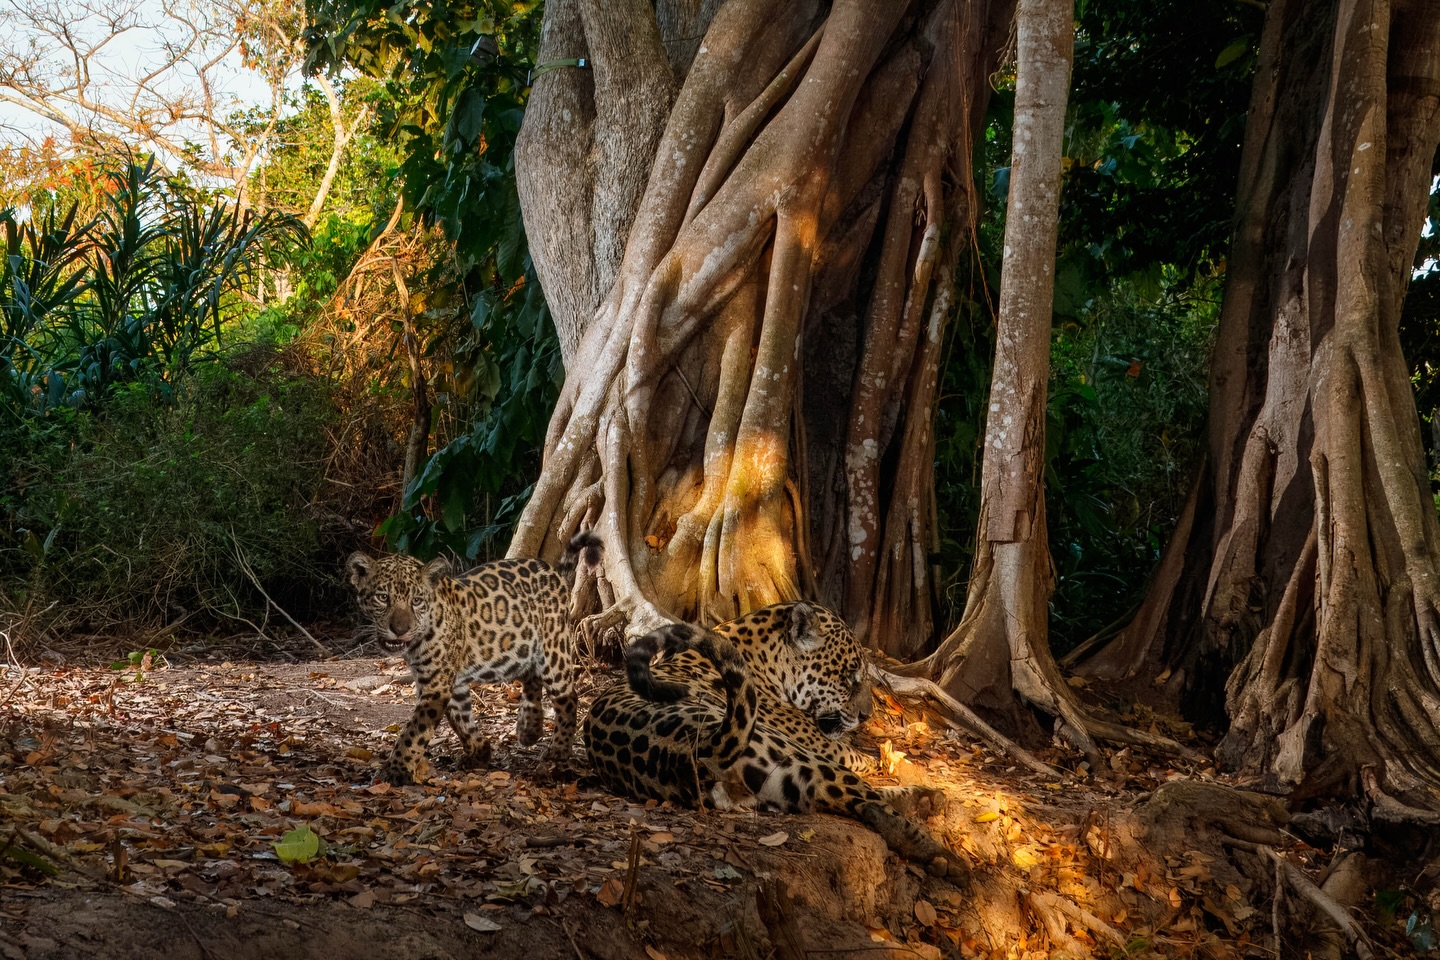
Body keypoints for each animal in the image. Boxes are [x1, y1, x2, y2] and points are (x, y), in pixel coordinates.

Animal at [346, 532, 602, 785]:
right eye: (382, 597)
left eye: (416, 601)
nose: (400, 630)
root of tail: (553, 572)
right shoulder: (448, 681)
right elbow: (460, 719)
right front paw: (480, 753)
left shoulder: (436, 684)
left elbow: (414, 731)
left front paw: (395, 769)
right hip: (523, 646)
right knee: (531, 677)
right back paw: (529, 729)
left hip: (554, 647)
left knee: (567, 698)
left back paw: (558, 750)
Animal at [583, 611, 966, 880]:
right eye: (849, 676)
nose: (866, 715)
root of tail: (692, 750)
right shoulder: (819, 742)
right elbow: (855, 754)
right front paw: (880, 755)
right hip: (792, 752)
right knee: (865, 798)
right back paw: (944, 854)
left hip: (782, 782)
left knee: (851, 798)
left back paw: (926, 802)